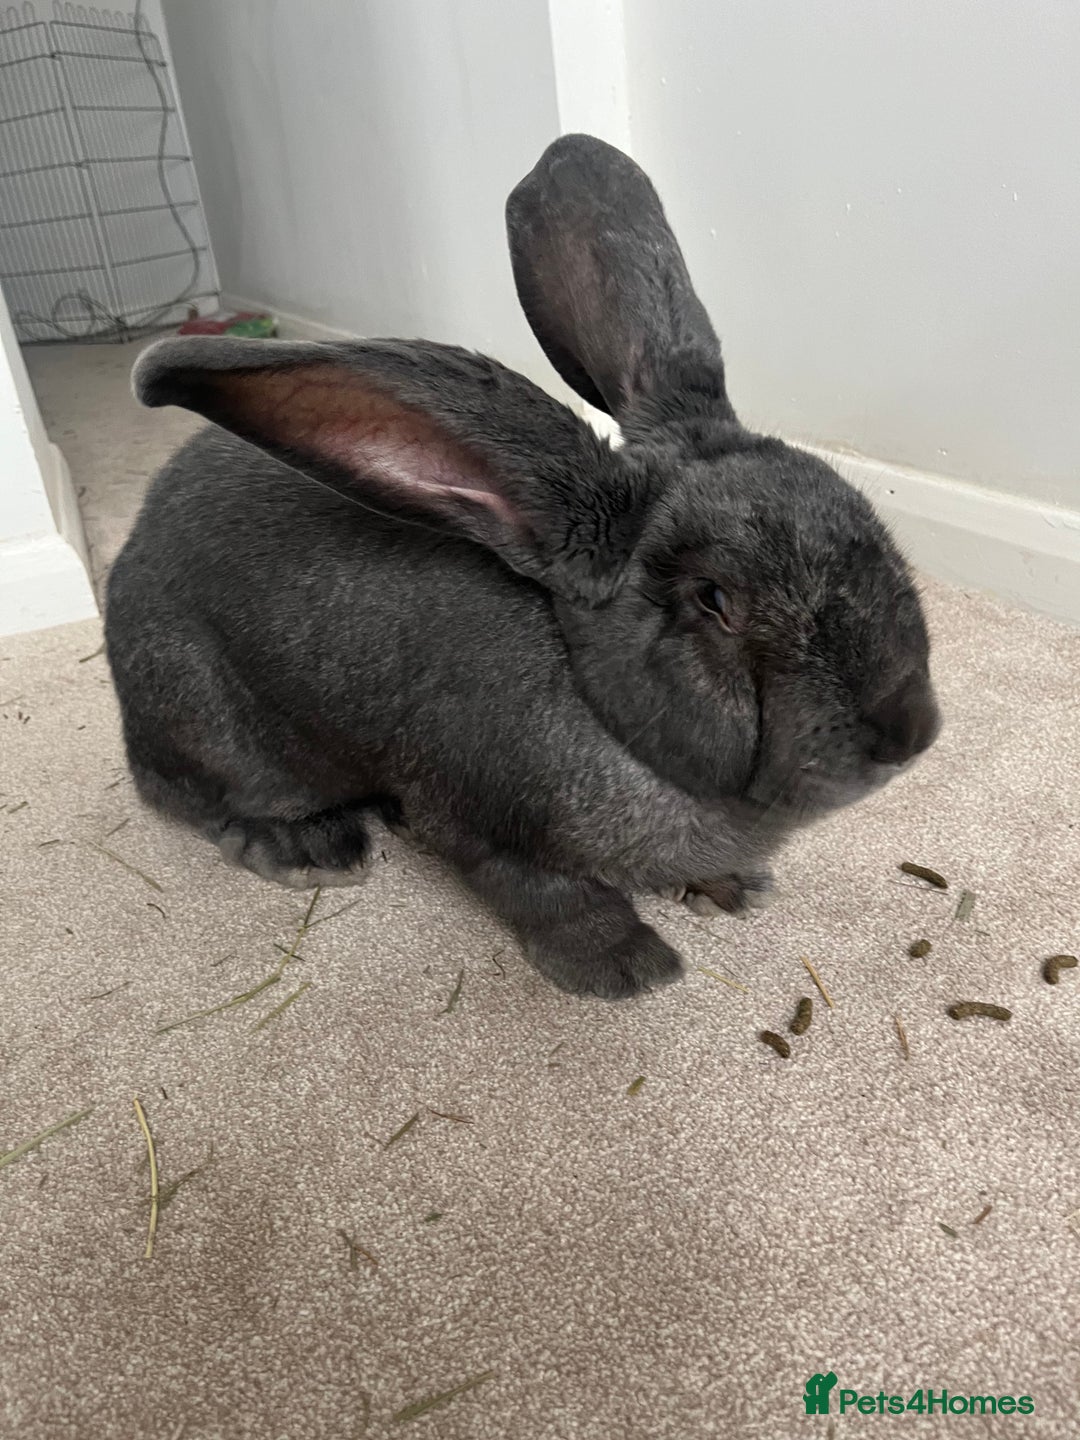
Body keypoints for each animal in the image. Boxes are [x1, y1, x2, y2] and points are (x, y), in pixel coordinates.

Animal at [104, 134, 940, 1000]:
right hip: (210, 719)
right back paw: (310, 850)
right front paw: (628, 968)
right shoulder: (483, 828)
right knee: (200, 799)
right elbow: (548, 894)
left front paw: (732, 888)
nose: (908, 730)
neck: (602, 706)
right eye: (715, 599)